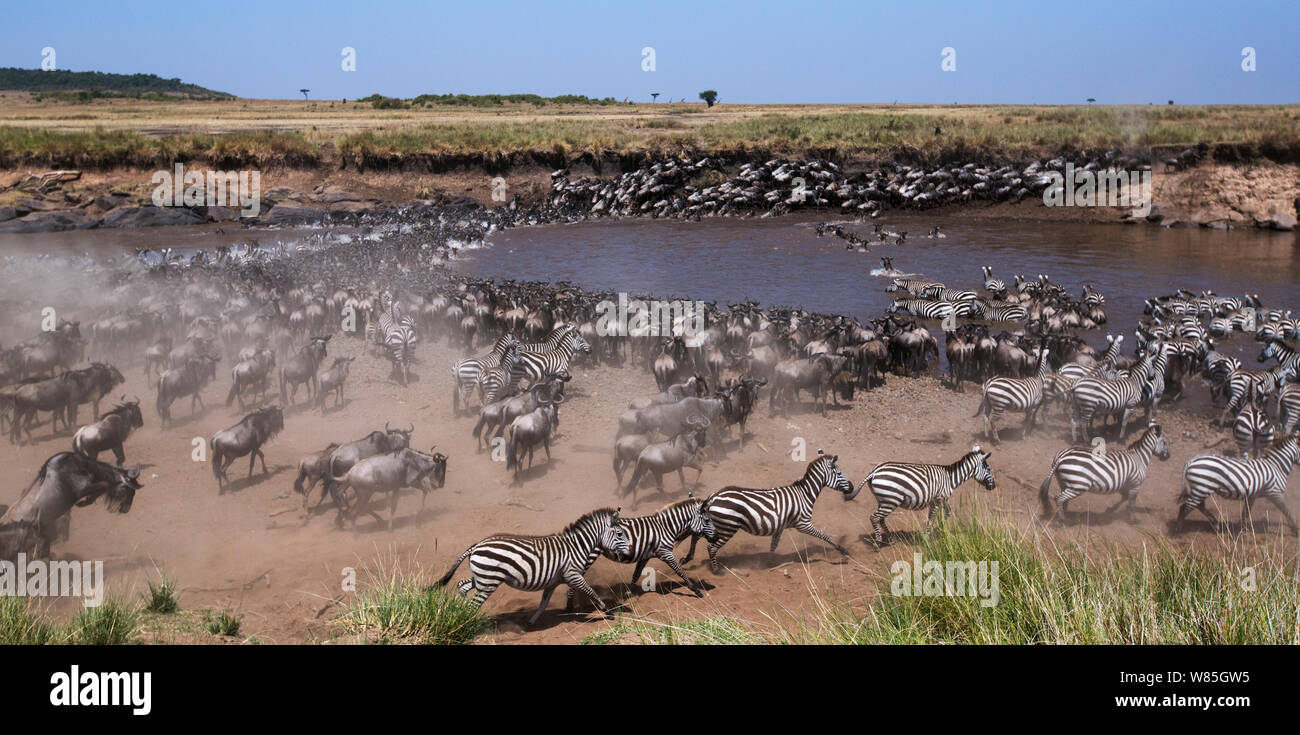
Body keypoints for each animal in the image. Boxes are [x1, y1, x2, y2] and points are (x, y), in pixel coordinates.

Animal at [436, 504, 629, 624]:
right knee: (473, 604)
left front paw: (532, 621)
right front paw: (609, 613)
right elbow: (592, 592)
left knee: (462, 585)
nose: (628, 553)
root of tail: (476, 545)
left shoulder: (553, 581)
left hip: (483, 578)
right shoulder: (573, 575)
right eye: (620, 534)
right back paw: (466, 622)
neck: (577, 546)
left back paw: (460, 612)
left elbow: (544, 602)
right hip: (488, 581)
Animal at [702, 447, 852, 572]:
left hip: (721, 527)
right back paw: (716, 570)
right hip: (728, 528)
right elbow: (823, 535)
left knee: (710, 544)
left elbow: (773, 546)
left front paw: (768, 563)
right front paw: (843, 550)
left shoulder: (780, 526)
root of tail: (713, 496)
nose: (851, 487)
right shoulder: (803, 524)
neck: (804, 494)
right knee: (711, 547)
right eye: (839, 473)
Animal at [852, 442, 993, 543]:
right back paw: (879, 541)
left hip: (884, 500)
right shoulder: (937, 500)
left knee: (880, 519)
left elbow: (947, 512)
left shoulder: (940, 500)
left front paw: (941, 528)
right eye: (988, 469)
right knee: (874, 517)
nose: (993, 486)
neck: (950, 478)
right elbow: (932, 518)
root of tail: (875, 471)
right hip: (890, 500)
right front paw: (927, 537)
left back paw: (891, 539)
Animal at [1040, 418, 1175, 520]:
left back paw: (1066, 514)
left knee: (1063, 500)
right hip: (1078, 485)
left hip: (1064, 482)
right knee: (1059, 498)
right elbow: (1132, 502)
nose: (1168, 457)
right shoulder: (1136, 484)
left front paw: (1111, 510)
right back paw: (1062, 520)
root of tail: (1060, 457)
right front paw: (1133, 519)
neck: (1139, 458)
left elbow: (1124, 498)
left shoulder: (1125, 483)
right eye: (1164, 442)